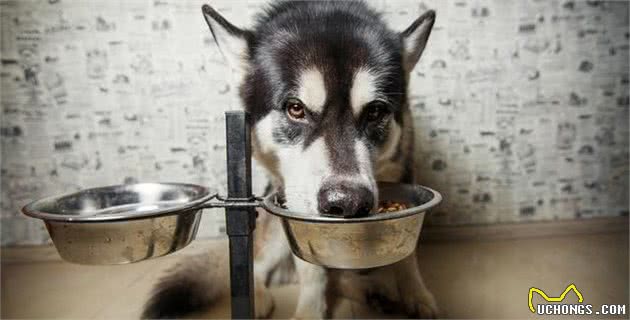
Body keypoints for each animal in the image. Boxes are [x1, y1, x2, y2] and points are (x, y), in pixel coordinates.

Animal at [144, 0, 440, 318]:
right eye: (295, 108)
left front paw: (416, 294)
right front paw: (310, 310)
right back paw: (260, 296)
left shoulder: (402, 167)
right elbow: (311, 269)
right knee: (260, 264)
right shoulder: (293, 206)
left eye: (375, 111)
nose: (348, 203)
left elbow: (407, 257)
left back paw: (370, 290)